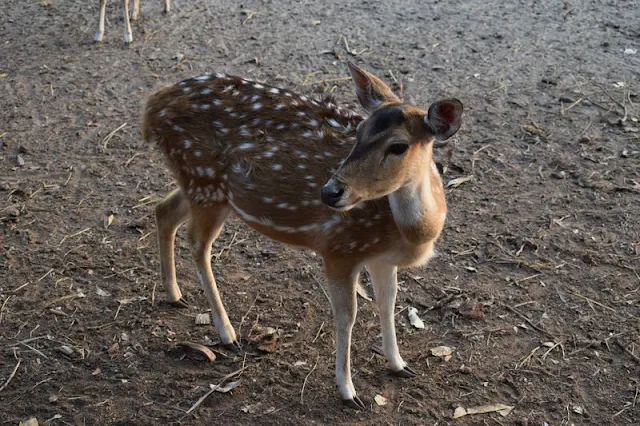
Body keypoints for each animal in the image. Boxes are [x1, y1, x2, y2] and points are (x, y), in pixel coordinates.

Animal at [142, 60, 462, 410]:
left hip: (202, 187)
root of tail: (152, 107)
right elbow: (347, 315)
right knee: (198, 243)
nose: (330, 191)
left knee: (164, 210)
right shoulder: (340, 248)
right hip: (205, 183)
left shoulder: (382, 260)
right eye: (359, 132)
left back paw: (174, 294)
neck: (410, 234)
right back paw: (227, 333)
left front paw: (399, 364)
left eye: (399, 146)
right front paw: (348, 391)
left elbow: (388, 303)